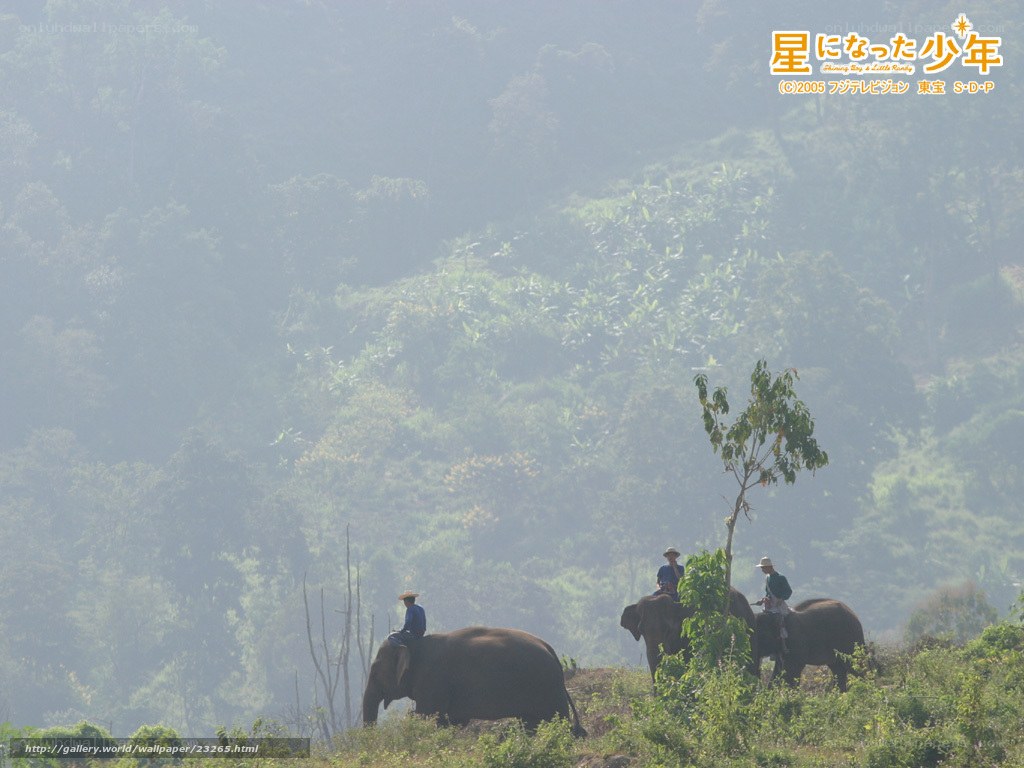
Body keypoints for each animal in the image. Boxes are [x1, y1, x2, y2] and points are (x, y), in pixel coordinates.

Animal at [361, 626, 586, 735]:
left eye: (375, 671)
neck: (413, 643)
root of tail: (551, 651)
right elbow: (452, 721)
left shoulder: (432, 681)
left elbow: (428, 717)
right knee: (532, 723)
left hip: (545, 687)